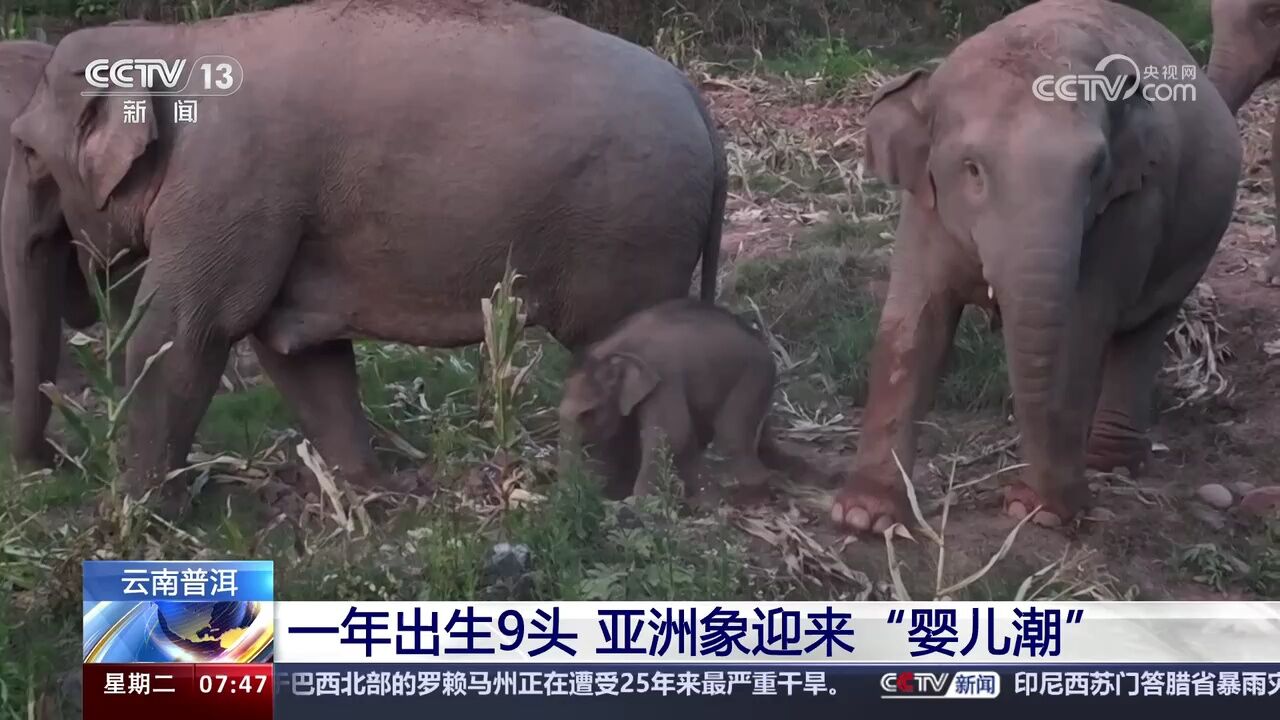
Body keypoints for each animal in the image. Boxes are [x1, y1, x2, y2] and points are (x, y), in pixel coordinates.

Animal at [0, 0, 727, 491]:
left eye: (28, 152)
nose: (52, 465)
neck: (170, 44)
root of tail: (697, 100)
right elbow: (294, 350)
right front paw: (371, 494)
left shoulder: (224, 188)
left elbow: (180, 336)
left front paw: (133, 513)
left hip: (630, 229)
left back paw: (604, 498)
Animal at [560, 297, 778, 499]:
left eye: (588, 412)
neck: (614, 350)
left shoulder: (665, 378)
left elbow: (670, 434)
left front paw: (638, 501)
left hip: (753, 376)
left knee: (730, 435)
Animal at [829, 0, 1239, 527]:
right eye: (972, 169)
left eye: (1095, 169)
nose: (1042, 503)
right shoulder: (925, 206)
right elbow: (916, 322)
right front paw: (863, 517)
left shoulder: (1131, 209)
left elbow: (1080, 329)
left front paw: (1040, 512)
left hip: (1195, 244)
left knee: (1143, 330)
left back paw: (1107, 462)